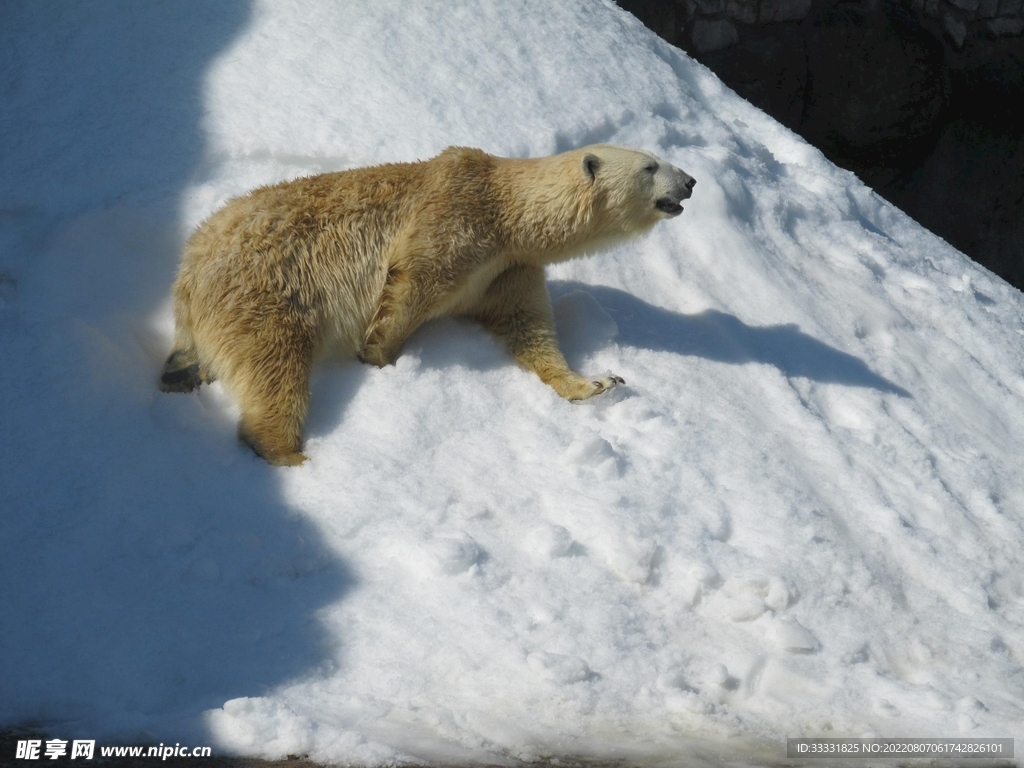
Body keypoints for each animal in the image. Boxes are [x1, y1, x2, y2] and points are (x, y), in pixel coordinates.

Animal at [161, 146, 696, 466]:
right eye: (650, 165)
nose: (690, 181)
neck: (509, 213)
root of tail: (188, 270)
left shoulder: (508, 270)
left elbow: (528, 329)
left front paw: (597, 383)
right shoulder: (455, 217)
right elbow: (414, 282)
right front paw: (379, 356)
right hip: (264, 289)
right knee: (275, 365)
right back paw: (293, 455)